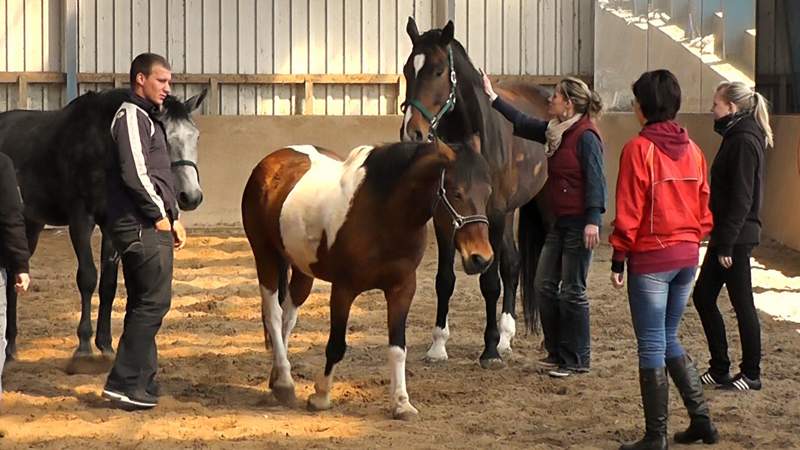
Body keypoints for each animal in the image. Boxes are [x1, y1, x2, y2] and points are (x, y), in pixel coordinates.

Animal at [242, 139, 494, 420]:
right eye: (457, 193)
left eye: (488, 193)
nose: (481, 259)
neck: (383, 214)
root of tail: (272, 160)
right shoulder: (343, 289)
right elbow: (336, 345)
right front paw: (321, 396)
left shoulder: (402, 288)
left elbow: (398, 348)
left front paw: (401, 403)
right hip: (264, 255)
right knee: (274, 314)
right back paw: (285, 383)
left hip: (301, 268)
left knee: (288, 316)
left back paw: (277, 376)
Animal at [400, 18, 552, 370]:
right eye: (407, 70)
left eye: (439, 71)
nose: (412, 132)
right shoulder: (445, 216)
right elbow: (444, 279)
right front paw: (438, 345)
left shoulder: (492, 214)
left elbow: (489, 282)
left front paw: (490, 349)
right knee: (513, 262)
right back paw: (508, 335)